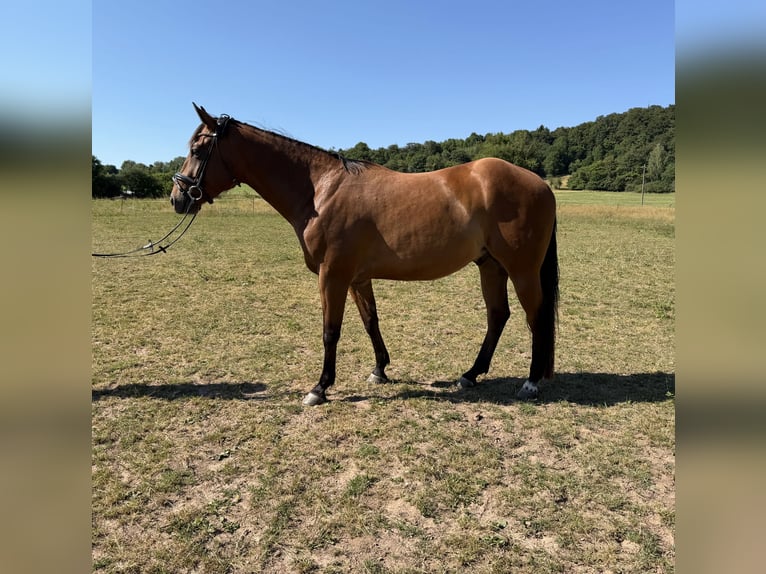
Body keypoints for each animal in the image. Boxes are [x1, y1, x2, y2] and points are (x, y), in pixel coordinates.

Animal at [171, 104, 559, 406]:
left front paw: (320, 388)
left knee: (536, 317)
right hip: (490, 265)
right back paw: (471, 374)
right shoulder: (357, 277)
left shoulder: (333, 275)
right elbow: (371, 322)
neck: (320, 191)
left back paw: (530, 383)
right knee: (498, 316)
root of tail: (540, 183)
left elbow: (331, 330)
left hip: (522, 270)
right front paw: (379, 370)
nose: (178, 198)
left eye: (199, 151)